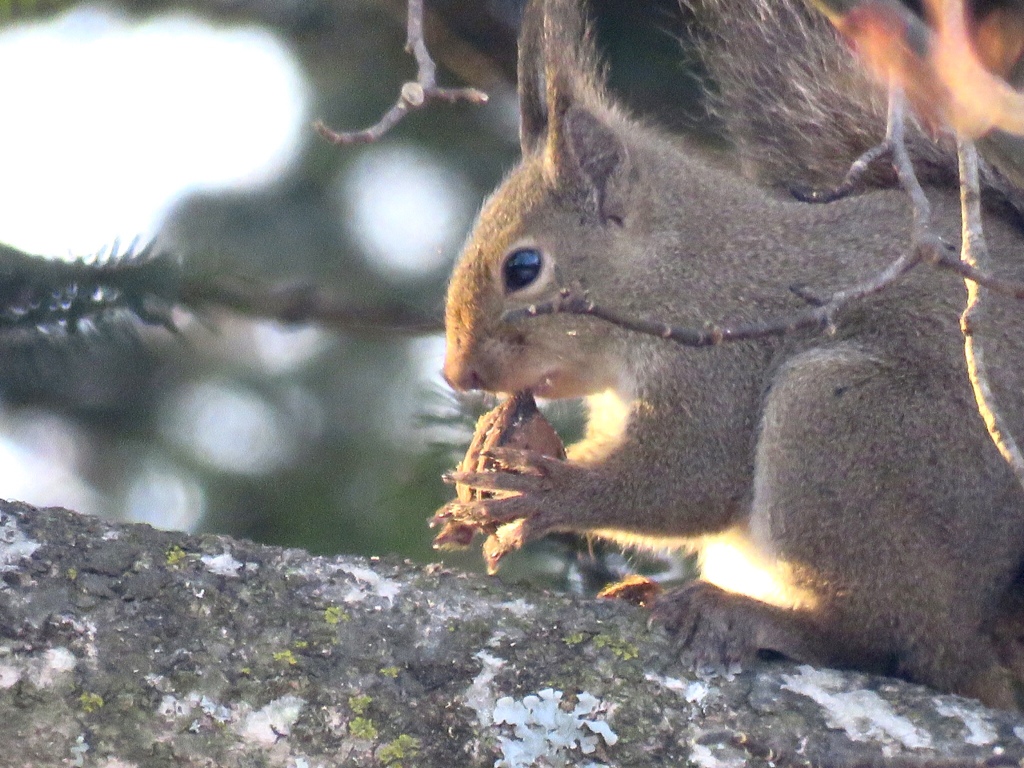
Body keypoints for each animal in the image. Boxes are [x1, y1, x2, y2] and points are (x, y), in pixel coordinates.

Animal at [438, 0, 1024, 708]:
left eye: (523, 268)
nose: (456, 373)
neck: (681, 269)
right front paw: (494, 452)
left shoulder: (720, 356)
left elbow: (689, 479)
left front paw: (544, 494)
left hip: (845, 428)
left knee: (887, 639)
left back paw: (750, 618)